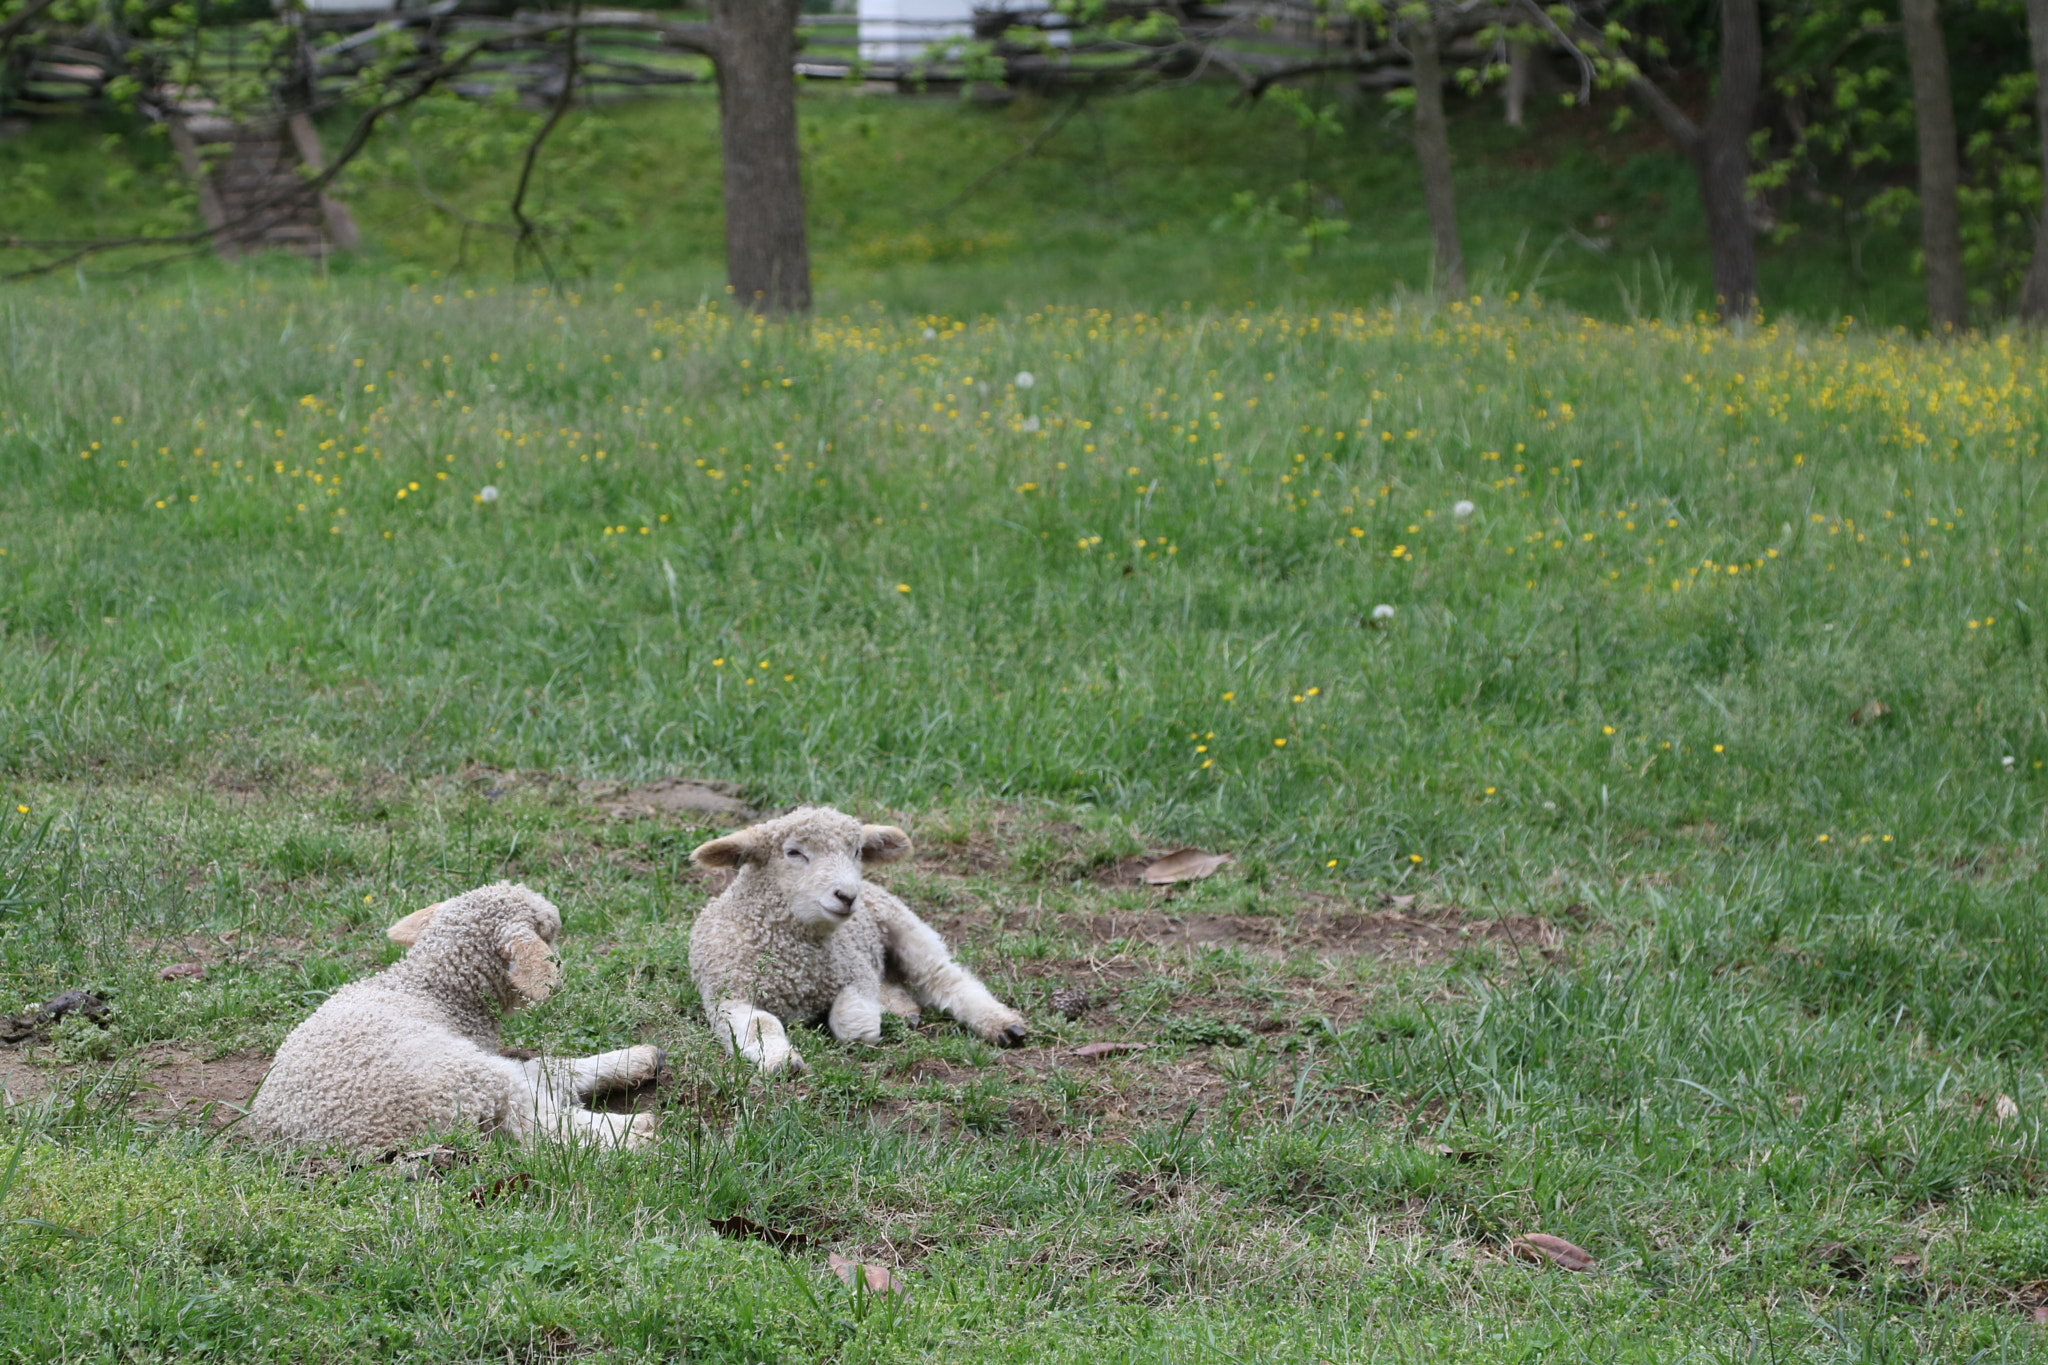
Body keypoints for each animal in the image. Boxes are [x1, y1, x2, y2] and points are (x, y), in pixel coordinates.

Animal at [249, 882, 661, 1153]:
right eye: (549, 932)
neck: (430, 990)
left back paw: (639, 1062)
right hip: (459, 1077)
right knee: (539, 1119)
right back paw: (634, 1130)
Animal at [687, 806, 1027, 1074]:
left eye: (857, 852)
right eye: (793, 852)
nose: (848, 896)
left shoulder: (857, 973)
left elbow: (854, 1026)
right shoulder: (727, 995)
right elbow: (762, 1024)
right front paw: (782, 1061)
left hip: (903, 924)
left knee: (945, 977)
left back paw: (1002, 1023)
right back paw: (902, 1007)